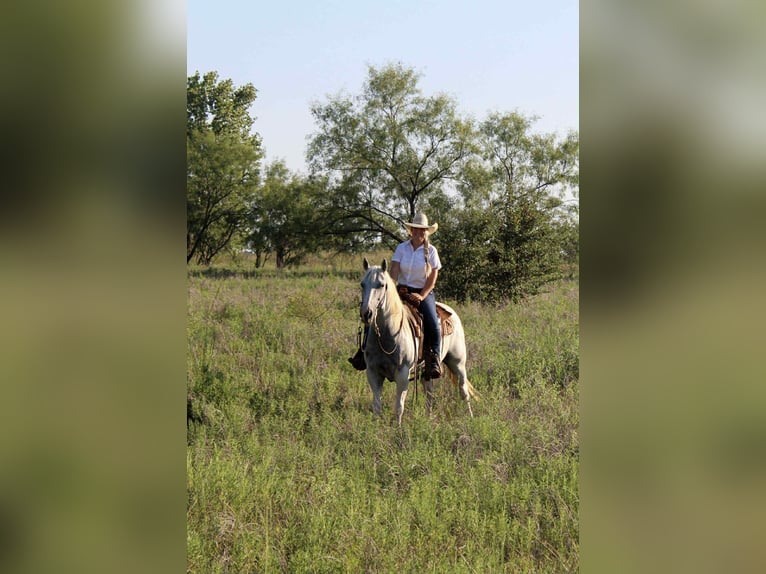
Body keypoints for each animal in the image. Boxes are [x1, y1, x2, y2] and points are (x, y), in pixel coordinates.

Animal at [359, 257, 477, 424]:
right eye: (362, 284)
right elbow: (376, 407)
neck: (388, 334)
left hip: (457, 362)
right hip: (426, 370)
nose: (366, 313)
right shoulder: (373, 372)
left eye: (381, 285)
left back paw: (470, 417)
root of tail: (451, 312)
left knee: (463, 390)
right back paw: (428, 419)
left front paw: (398, 428)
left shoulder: (402, 374)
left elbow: (399, 407)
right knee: (430, 393)